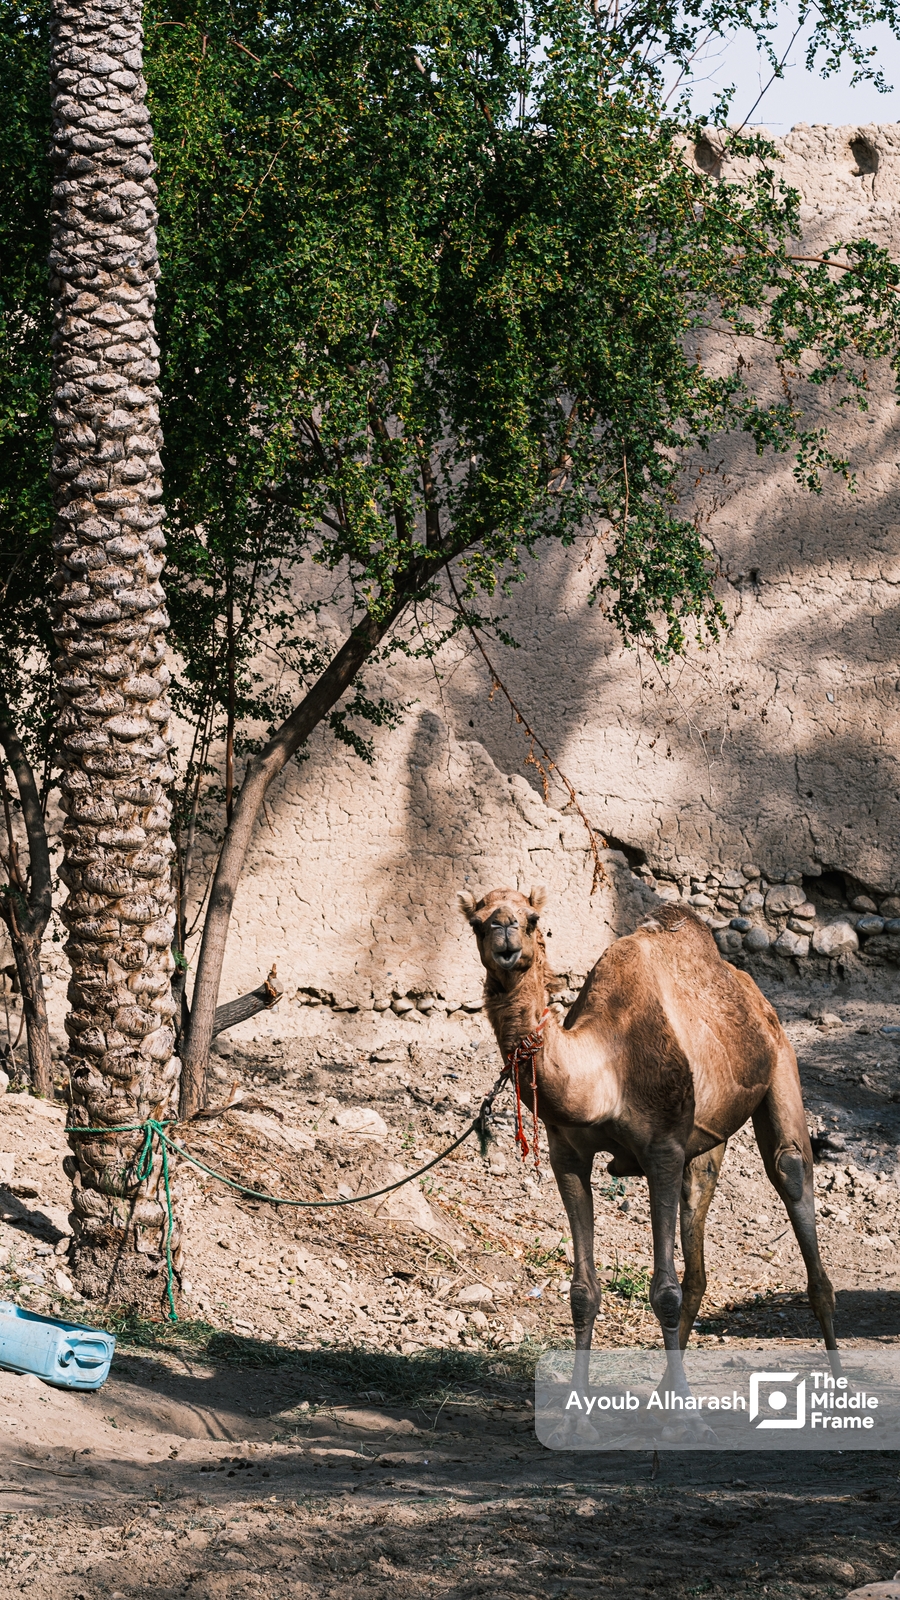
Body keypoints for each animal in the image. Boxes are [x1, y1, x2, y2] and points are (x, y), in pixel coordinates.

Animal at [459, 884, 837, 1364]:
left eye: (531, 918)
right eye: (477, 922)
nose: (504, 931)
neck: (605, 1070)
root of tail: (751, 990)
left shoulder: (662, 1149)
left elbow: (664, 1294)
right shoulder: (568, 1154)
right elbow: (582, 1293)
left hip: (781, 1060)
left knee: (790, 1170)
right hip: (705, 1134)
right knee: (699, 1200)